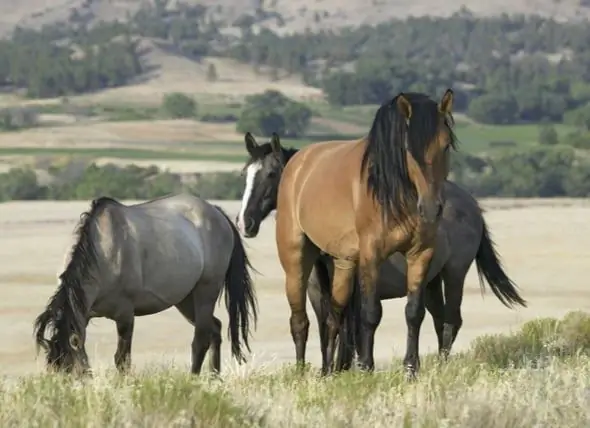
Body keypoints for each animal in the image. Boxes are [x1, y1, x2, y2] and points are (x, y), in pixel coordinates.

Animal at [33, 194, 258, 374]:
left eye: (71, 370)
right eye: (53, 369)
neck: (104, 251)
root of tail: (217, 213)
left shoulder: (125, 315)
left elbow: (122, 359)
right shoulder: (85, 314)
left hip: (206, 292)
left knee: (200, 340)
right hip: (186, 300)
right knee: (215, 329)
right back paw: (214, 378)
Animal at [236, 134, 528, 374]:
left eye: (272, 174)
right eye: (244, 174)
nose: (245, 222)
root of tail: (472, 204)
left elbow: (351, 331)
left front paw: (346, 369)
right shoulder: (319, 295)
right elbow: (327, 328)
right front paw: (327, 371)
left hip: (454, 273)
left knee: (451, 320)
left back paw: (441, 367)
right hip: (430, 281)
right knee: (438, 319)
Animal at [276, 89, 460, 374]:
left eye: (446, 145)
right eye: (408, 149)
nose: (431, 209)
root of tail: (298, 163)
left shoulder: (420, 253)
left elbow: (414, 312)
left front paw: (411, 368)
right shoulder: (372, 254)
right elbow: (371, 312)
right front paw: (365, 367)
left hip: (343, 264)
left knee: (333, 317)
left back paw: (327, 372)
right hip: (295, 258)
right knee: (299, 320)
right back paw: (300, 372)